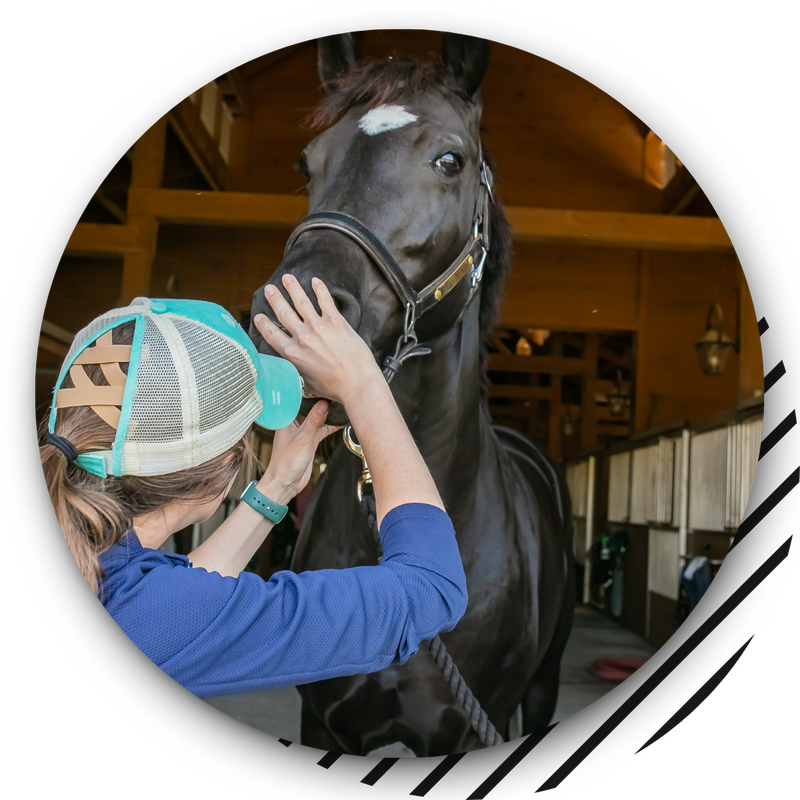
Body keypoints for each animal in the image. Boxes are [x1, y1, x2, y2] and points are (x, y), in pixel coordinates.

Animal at [249, 32, 576, 757]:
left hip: (543, 685)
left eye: (450, 159)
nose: (287, 310)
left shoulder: (467, 729)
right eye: (307, 163)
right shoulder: (326, 721)